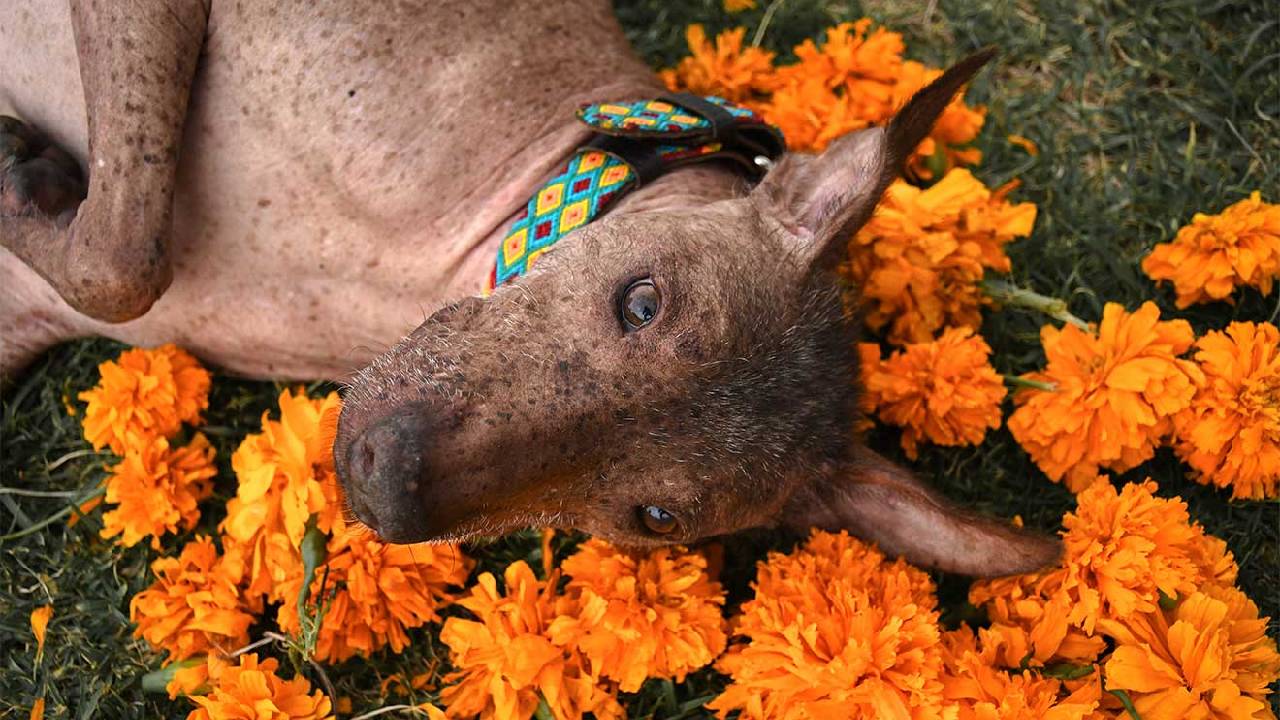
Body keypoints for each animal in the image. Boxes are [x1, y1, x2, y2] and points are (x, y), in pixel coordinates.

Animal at [0, 0, 1059, 571]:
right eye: (643, 301)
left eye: (655, 518)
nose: (384, 478)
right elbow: (122, 253)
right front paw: (22, 171)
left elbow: (115, 264)